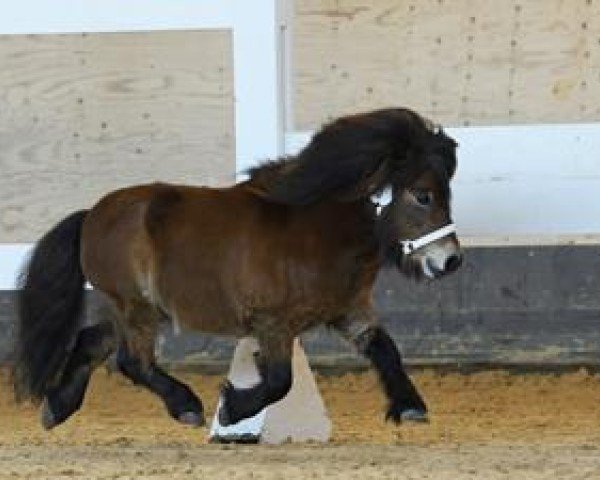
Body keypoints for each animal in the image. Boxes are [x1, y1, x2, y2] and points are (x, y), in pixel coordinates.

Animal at [12, 107, 464, 430]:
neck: (320, 227)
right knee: (132, 361)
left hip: (136, 308)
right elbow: (280, 381)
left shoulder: (349, 311)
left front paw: (410, 407)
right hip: (134, 306)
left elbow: (385, 349)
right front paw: (232, 409)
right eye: (423, 195)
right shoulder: (273, 323)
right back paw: (187, 407)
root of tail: (90, 216)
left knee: (92, 340)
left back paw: (57, 407)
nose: (451, 260)